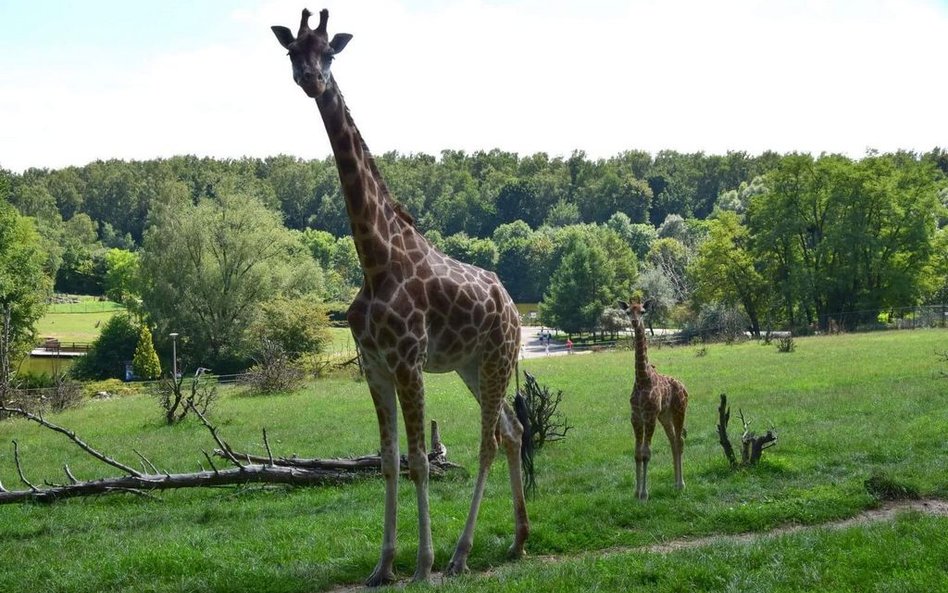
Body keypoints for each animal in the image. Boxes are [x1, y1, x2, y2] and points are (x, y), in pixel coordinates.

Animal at [270, 6, 528, 584]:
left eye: (330, 51)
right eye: (293, 51)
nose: (311, 79)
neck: (375, 259)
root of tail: (513, 307)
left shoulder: (408, 361)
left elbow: (419, 462)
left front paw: (422, 566)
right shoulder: (374, 364)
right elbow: (389, 461)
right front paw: (383, 566)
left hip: (497, 357)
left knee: (489, 440)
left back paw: (460, 554)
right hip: (472, 364)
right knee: (514, 429)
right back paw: (519, 540)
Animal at [620, 296, 684, 500]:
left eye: (642, 311)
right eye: (628, 312)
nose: (634, 322)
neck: (642, 379)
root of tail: (685, 388)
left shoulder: (649, 416)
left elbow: (646, 453)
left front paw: (644, 494)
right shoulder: (636, 417)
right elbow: (637, 454)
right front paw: (636, 492)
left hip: (679, 411)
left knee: (680, 441)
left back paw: (682, 484)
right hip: (665, 416)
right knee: (673, 441)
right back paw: (675, 483)